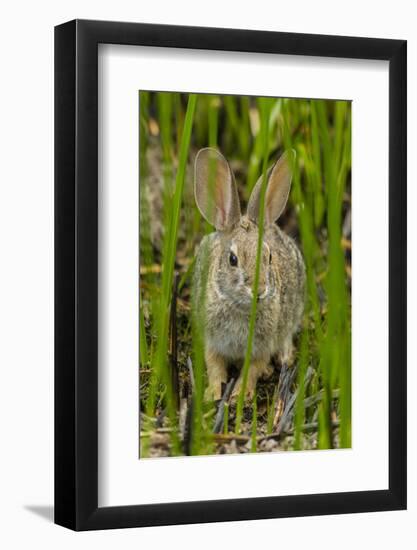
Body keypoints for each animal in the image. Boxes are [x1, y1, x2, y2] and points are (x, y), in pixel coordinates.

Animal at [193, 149, 306, 404]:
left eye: (269, 256)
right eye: (232, 259)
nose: (260, 290)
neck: (238, 306)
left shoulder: (262, 345)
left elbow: (252, 369)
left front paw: (241, 395)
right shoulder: (212, 340)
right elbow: (214, 366)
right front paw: (213, 394)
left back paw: (283, 358)